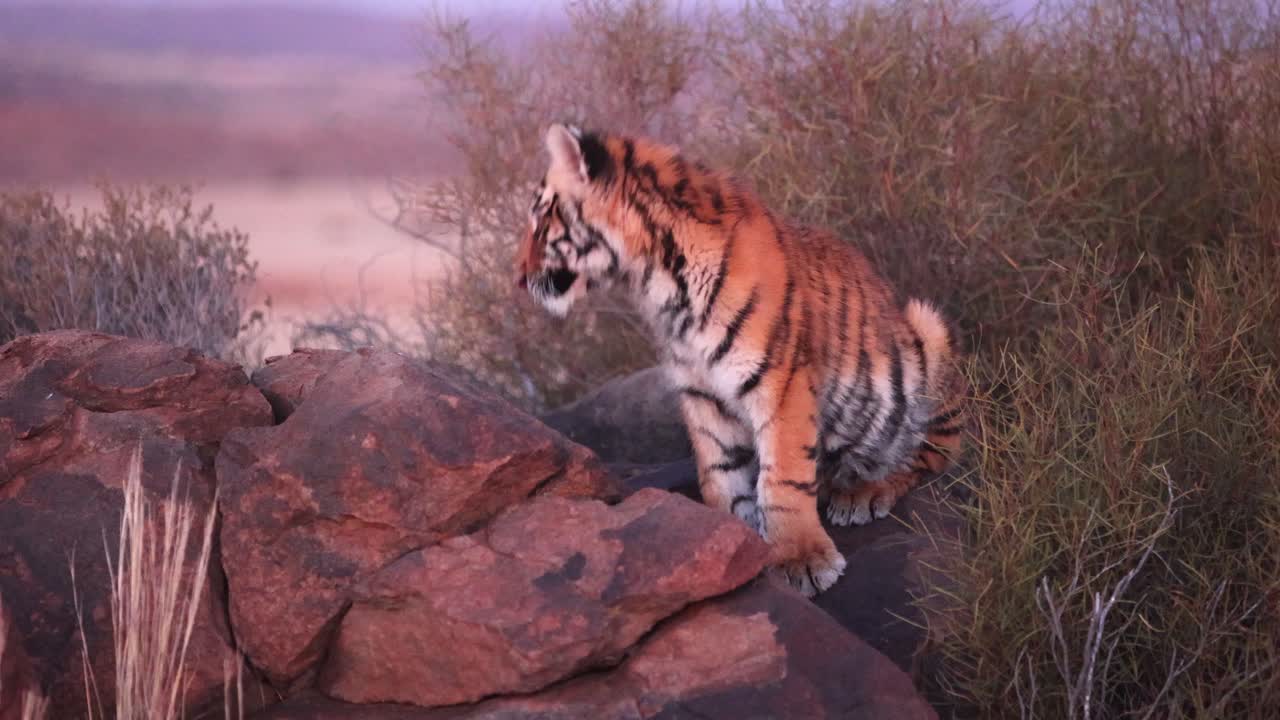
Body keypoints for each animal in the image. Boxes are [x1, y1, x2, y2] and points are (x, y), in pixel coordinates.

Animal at [514, 123, 967, 597]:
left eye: (541, 222)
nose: (519, 278)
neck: (658, 284)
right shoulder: (702, 392)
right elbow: (720, 474)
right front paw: (735, 551)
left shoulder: (780, 383)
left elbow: (781, 477)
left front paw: (802, 560)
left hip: (926, 334)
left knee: (932, 456)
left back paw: (862, 491)